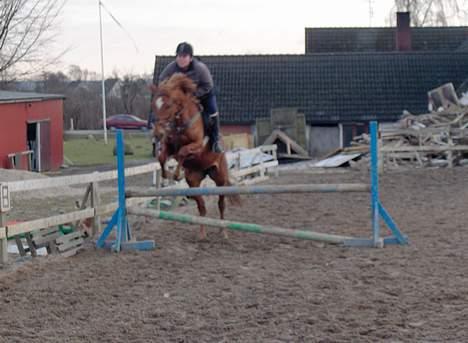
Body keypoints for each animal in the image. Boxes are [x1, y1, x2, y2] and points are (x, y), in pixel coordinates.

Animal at [151, 73, 239, 239]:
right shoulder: (169, 146)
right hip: (194, 181)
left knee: (221, 204)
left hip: (220, 178)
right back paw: (202, 233)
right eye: (155, 105)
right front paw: (166, 176)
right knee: (202, 206)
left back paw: (223, 231)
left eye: (168, 105)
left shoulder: (197, 146)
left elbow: (182, 153)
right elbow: (162, 157)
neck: (180, 122)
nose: (157, 133)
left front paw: (176, 174)